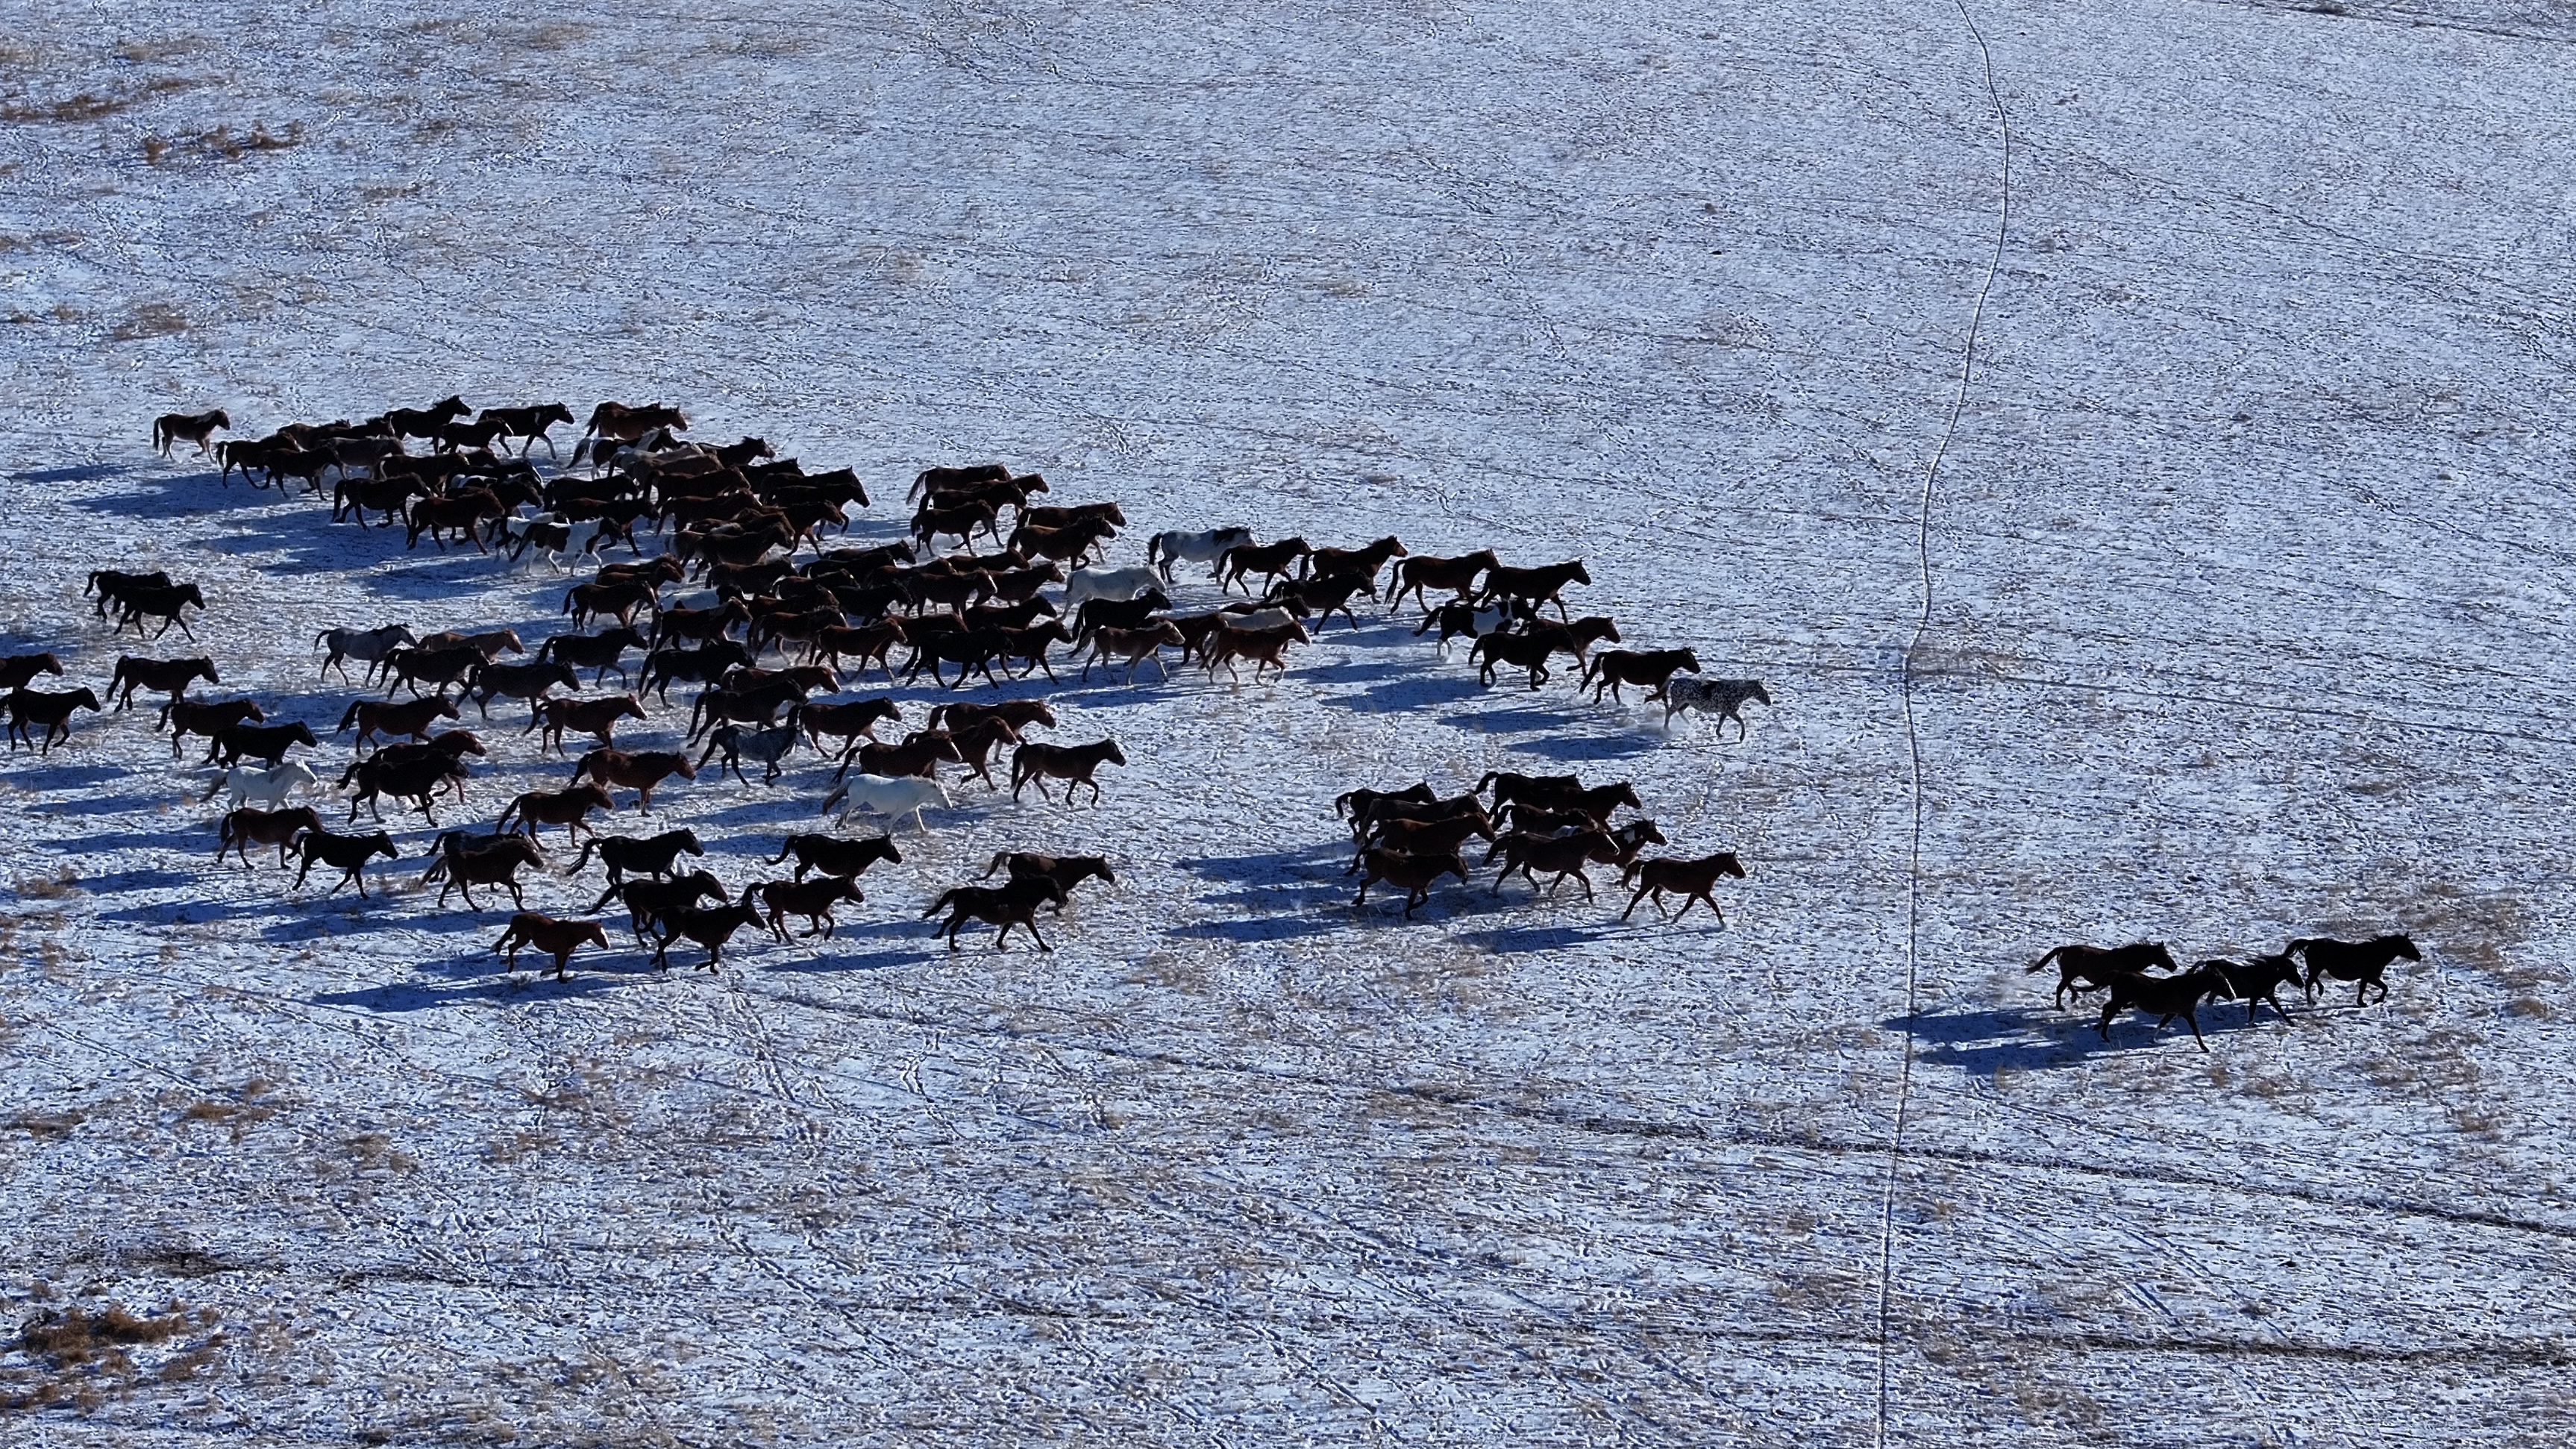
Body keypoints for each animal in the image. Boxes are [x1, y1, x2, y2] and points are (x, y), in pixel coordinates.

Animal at [1619, 853, 1747, 923]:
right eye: (1734, 863)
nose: (1744, 874)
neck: (1705, 871)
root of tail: (1647, 863)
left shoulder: (1695, 893)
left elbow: (1688, 906)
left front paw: (1675, 919)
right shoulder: (1703, 893)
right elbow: (1714, 905)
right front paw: (1723, 924)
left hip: (1659, 885)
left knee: (1654, 897)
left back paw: (1665, 914)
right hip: (1648, 884)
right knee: (1637, 897)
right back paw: (1625, 916)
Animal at [1665, 678, 1770, 737]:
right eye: (1763, 690)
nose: (1769, 702)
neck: (1739, 692)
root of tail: (1675, 681)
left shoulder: (1725, 711)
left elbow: (1721, 722)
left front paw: (1719, 733)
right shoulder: (1730, 711)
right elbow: (1742, 722)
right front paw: (1741, 737)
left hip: (1686, 702)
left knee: (1679, 711)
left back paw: (1688, 723)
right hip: (1678, 701)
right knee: (1669, 712)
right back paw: (1667, 728)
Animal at [2027, 941, 2179, 1009]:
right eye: (2163, 954)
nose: (2174, 966)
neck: (2127, 958)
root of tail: (2066, 949)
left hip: (2070, 974)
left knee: (2066, 985)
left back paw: (2074, 997)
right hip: (2070, 973)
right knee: (2061, 987)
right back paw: (2061, 1006)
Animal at [2096, 963, 2237, 1050]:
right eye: (2223, 982)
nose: (2233, 996)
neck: (2188, 989)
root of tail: (2119, 974)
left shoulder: (2172, 1012)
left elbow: (2162, 1024)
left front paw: (2152, 1039)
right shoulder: (2187, 1013)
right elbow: (2196, 1030)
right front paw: (2205, 1048)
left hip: (2119, 1001)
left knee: (2107, 1008)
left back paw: (2099, 1027)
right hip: (2120, 1001)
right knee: (2109, 1015)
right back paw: (2105, 1037)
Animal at [2288, 934, 2420, 1006]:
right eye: (2409, 945)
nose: (2419, 957)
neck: (2377, 953)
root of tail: (2311, 943)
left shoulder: (2366, 978)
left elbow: (2363, 989)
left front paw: (2362, 1002)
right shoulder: (2371, 977)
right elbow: (2385, 988)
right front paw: (2376, 1000)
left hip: (2317, 968)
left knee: (2312, 980)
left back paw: (2320, 992)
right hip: (2316, 968)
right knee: (2308, 983)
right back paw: (2311, 1003)